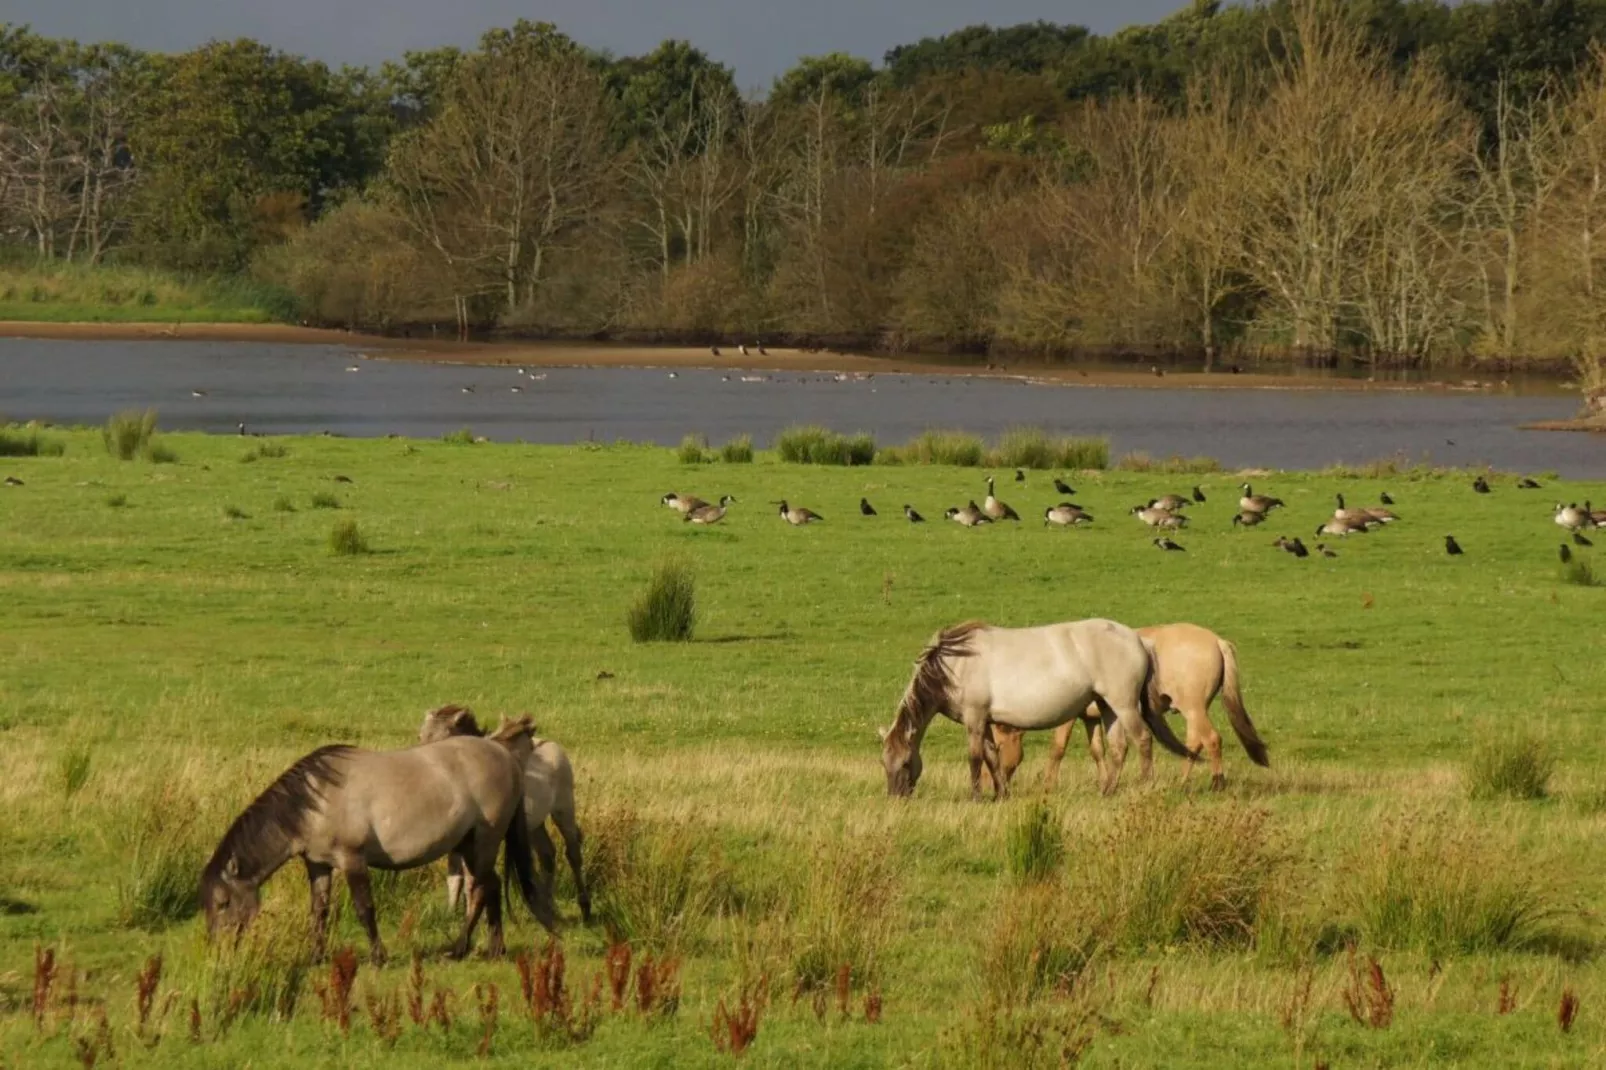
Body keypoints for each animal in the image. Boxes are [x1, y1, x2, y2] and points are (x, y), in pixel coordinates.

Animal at [199, 739, 555, 963]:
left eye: (224, 903)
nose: (217, 950)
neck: (315, 802)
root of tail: (506, 757)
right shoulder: (318, 865)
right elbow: (318, 911)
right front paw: (316, 956)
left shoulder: (352, 860)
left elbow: (364, 908)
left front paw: (377, 956)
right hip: (469, 843)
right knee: (491, 886)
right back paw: (495, 948)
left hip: (484, 839)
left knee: (481, 889)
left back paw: (458, 949)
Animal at [417, 703, 594, 918]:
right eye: (420, 735)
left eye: (446, 736)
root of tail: (552, 744)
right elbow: (454, 875)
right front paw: (452, 913)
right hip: (534, 825)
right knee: (547, 855)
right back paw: (548, 904)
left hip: (564, 809)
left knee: (573, 853)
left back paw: (584, 907)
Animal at [880, 613, 1194, 796]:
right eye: (884, 762)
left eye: (906, 761)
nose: (897, 797)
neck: (955, 664)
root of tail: (1138, 640)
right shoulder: (985, 722)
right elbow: (992, 757)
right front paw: (1001, 795)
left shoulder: (974, 719)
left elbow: (975, 759)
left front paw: (977, 797)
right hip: (1108, 707)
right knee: (1118, 747)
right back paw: (1106, 791)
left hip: (1124, 705)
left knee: (1142, 740)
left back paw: (1145, 786)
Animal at [989, 620, 1265, 787]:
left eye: (998, 747)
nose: (994, 781)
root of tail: (1217, 640)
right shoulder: (1091, 718)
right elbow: (1098, 750)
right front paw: (1105, 782)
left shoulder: (1068, 717)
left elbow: (1057, 749)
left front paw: (1048, 784)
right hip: (1194, 712)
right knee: (1194, 743)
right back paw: (1183, 781)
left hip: (1193, 709)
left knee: (1211, 740)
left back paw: (1216, 782)